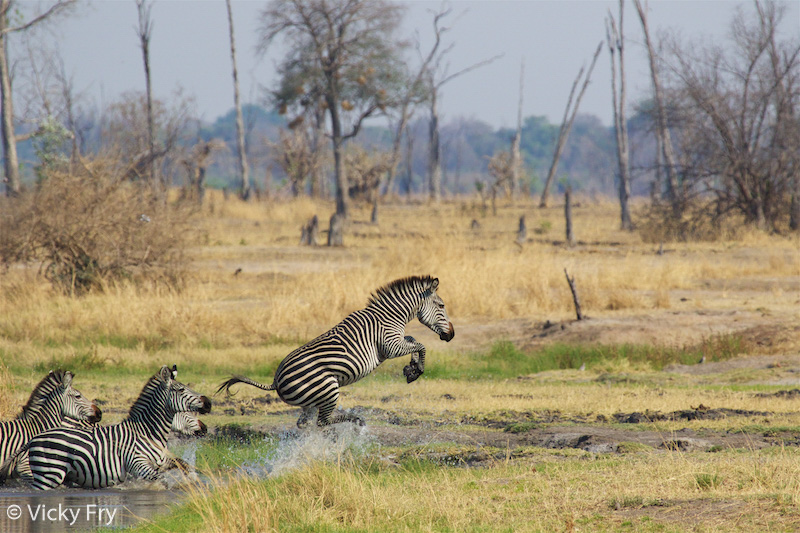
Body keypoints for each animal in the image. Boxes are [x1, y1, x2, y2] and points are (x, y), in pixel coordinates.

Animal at [11, 364, 211, 490]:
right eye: (181, 390)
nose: (208, 403)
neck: (147, 433)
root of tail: (35, 438)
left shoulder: (161, 461)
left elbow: (183, 464)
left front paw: (194, 481)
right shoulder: (137, 465)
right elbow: (161, 480)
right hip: (48, 474)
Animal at [218, 275, 454, 428]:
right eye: (442, 306)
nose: (451, 335)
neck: (390, 316)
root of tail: (276, 379)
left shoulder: (395, 342)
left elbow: (413, 339)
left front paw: (411, 368)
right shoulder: (389, 345)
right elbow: (421, 344)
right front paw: (416, 370)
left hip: (311, 400)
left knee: (305, 423)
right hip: (328, 387)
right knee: (323, 422)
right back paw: (356, 419)